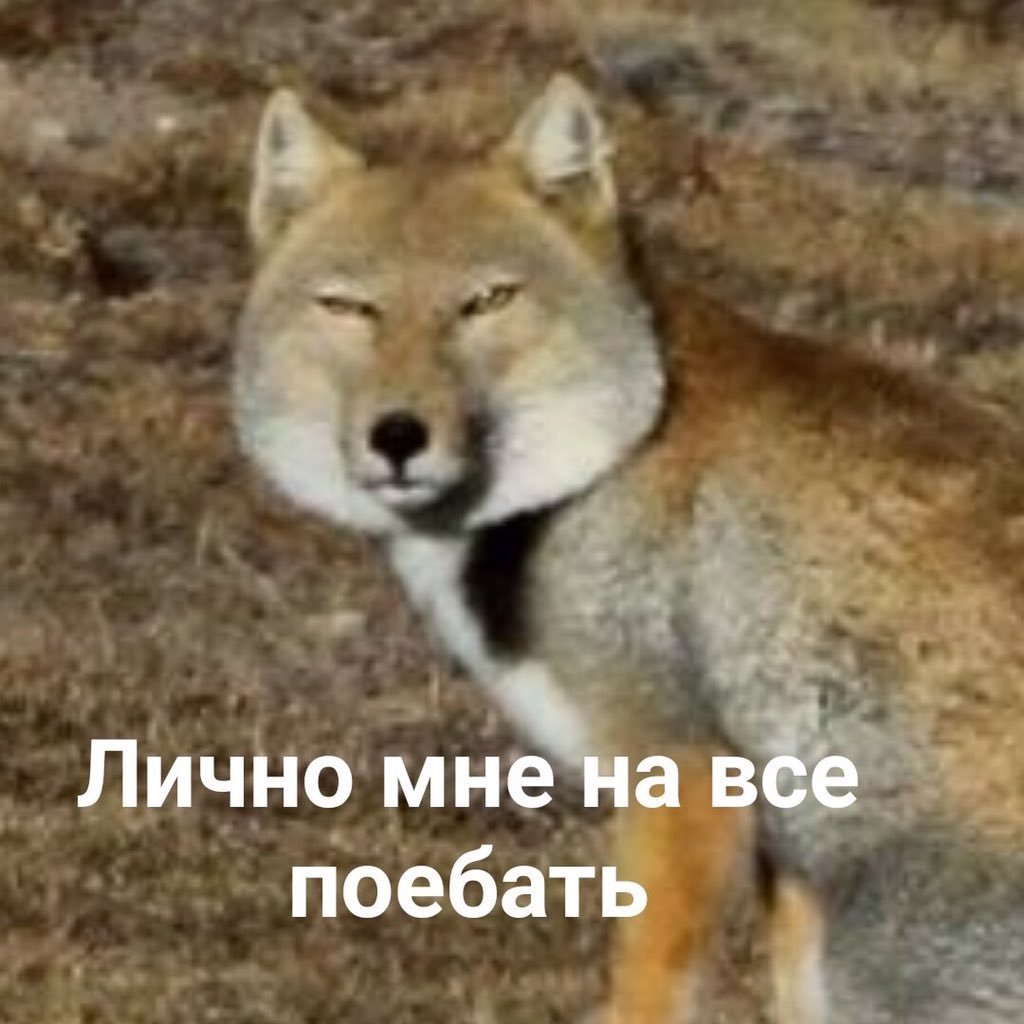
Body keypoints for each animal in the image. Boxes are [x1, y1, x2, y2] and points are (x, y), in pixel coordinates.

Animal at [233, 74, 1024, 1023]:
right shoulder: (786, 839)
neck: (616, 448)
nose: (398, 436)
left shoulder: (683, 768)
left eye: (487, 301)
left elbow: (648, 981)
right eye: (348, 307)